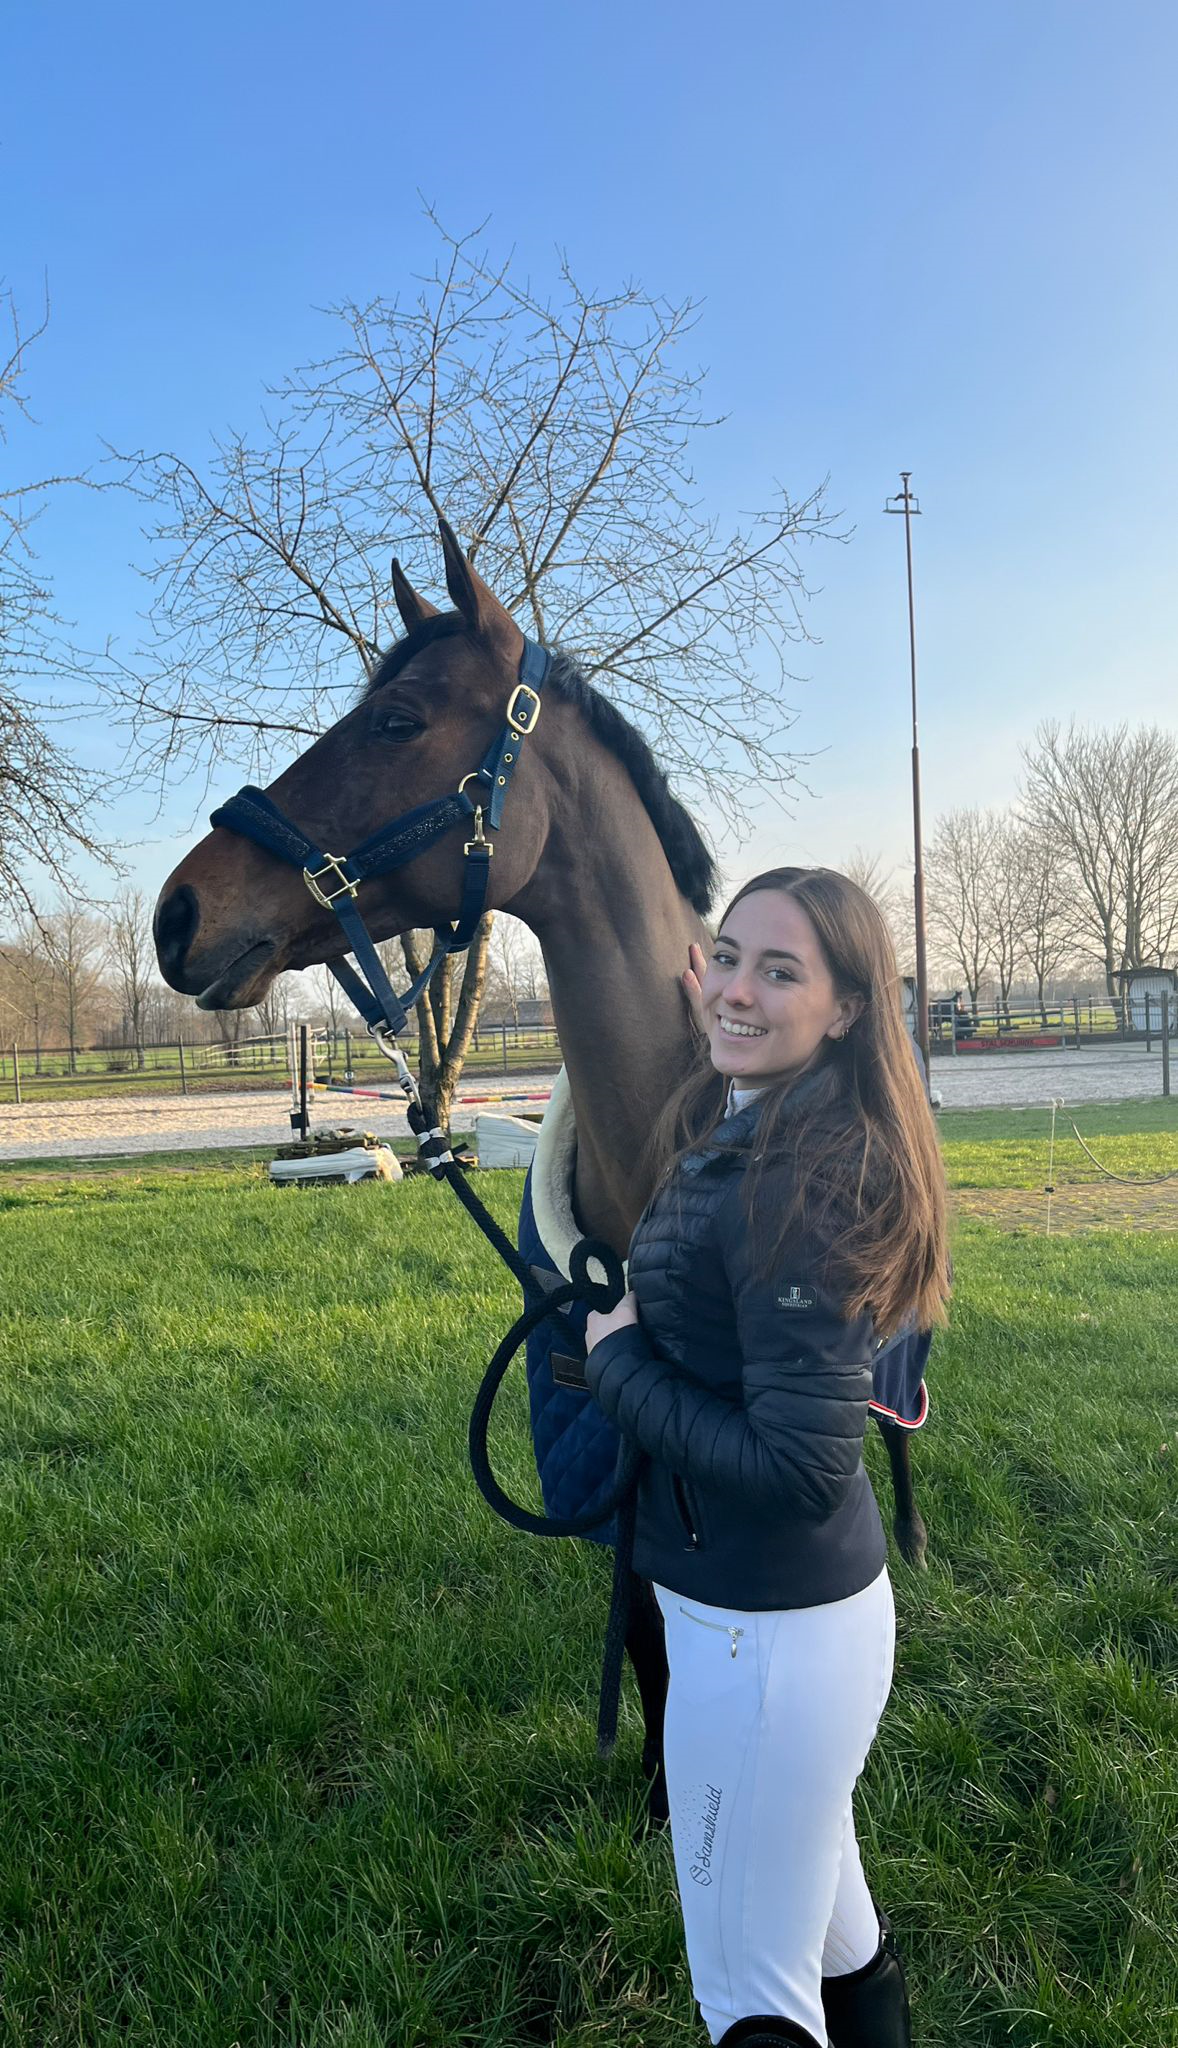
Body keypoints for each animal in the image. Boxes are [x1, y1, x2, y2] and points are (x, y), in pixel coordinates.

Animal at [154, 515, 929, 1817]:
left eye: (395, 720)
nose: (176, 914)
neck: (666, 1131)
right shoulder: (607, 1439)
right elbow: (648, 1624)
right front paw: (661, 1788)